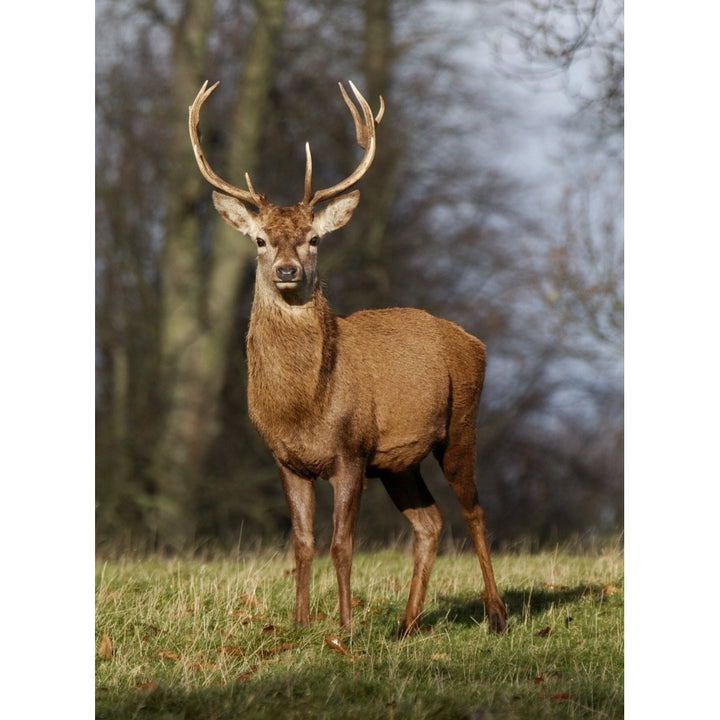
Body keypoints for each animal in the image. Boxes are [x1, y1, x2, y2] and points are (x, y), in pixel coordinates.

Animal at [188, 79, 510, 636]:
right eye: (260, 239)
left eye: (314, 238)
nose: (288, 270)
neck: (305, 406)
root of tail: (474, 341)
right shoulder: (286, 458)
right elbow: (302, 543)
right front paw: (300, 625)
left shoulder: (351, 451)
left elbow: (342, 544)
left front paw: (344, 627)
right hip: (398, 462)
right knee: (429, 522)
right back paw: (406, 624)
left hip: (461, 423)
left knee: (474, 510)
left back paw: (495, 614)